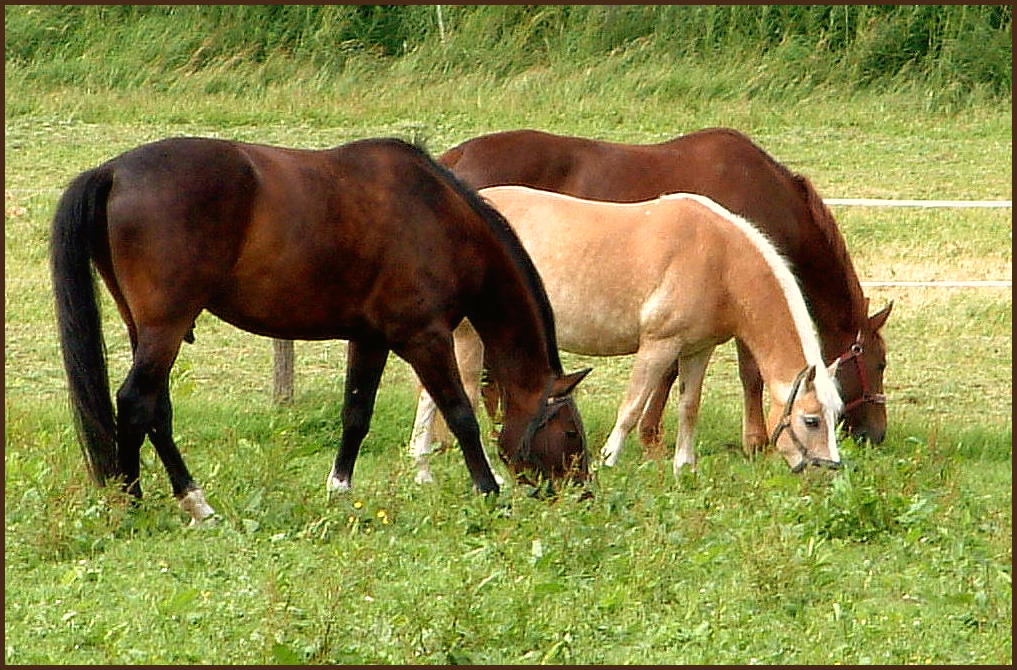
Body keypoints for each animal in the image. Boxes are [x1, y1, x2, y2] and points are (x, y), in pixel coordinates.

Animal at [51, 136, 593, 524]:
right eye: (569, 432)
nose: (583, 493)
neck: (437, 216)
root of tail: (113, 171)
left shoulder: (370, 338)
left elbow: (356, 414)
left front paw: (340, 491)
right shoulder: (424, 338)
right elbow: (460, 414)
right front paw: (488, 490)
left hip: (144, 328)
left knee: (155, 411)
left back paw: (180, 502)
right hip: (166, 326)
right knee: (136, 402)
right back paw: (142, 502)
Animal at [412, 187, 842, 481]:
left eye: (835, 415)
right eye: (811, 420)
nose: (828, 471)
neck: (719, 259)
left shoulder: (697, 350)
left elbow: (689, 406)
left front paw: (683, 468)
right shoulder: (658, 346)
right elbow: (632, 406)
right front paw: (609, 461)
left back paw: (422, 465)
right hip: (470, 336)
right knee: (460, 395)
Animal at [441, 126, 894, 453]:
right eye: (879, 364)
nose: (875, 434)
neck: (765, 194)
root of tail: (454, 160)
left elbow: (671, 375)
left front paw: (652, 434)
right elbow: (750, 375)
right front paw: (755, 441)